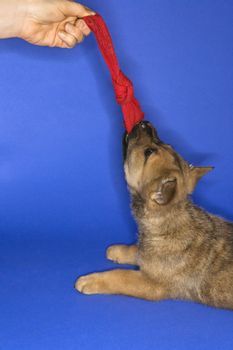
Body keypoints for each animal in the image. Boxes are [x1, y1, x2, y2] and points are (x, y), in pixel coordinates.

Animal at [76, 121, 233, 310]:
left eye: (148, 152)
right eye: (167, 144)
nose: (145, 123)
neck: (167, 220)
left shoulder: (151, 284)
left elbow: (120, 275)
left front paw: (91, 280)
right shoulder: (147, 252)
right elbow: (137, 250)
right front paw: (119, 250)